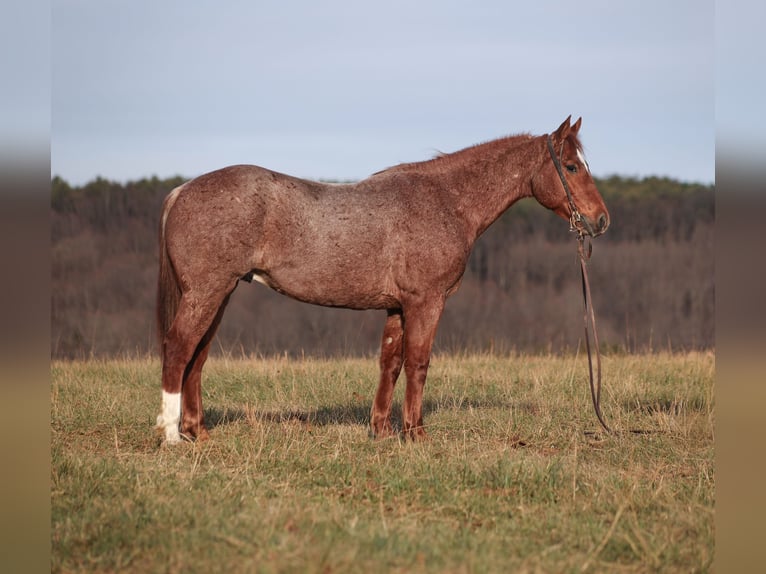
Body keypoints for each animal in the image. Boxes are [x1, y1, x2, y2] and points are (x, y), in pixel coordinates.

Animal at [156, 116, 609, 444]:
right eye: (571, 167)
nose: (600, 220)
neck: (447, 201)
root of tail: (180, 192)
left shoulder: (397, 305)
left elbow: (390, 363)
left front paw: (382, 430)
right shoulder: (426, 301)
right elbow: (418, 363)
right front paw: (416, 433)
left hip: (221, 293)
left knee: (197, 356)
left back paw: (198, 431)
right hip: (207, 292)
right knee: (179, 348)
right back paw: (171, 435)